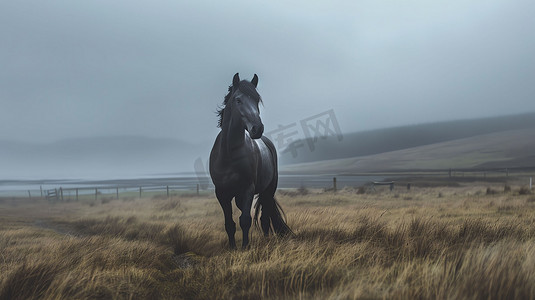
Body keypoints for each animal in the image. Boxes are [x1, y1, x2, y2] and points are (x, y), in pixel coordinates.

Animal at [209, 72, 294, 248]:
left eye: (256, 100)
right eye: (238, 100)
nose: (257, 128)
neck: (229, 155)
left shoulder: (247, 189)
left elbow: (245, 220)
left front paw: (245, 248)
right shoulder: (221, 193)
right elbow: (229, 223)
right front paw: (233, 248)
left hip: (267, 191)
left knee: (265, 218)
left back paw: (266, 242)